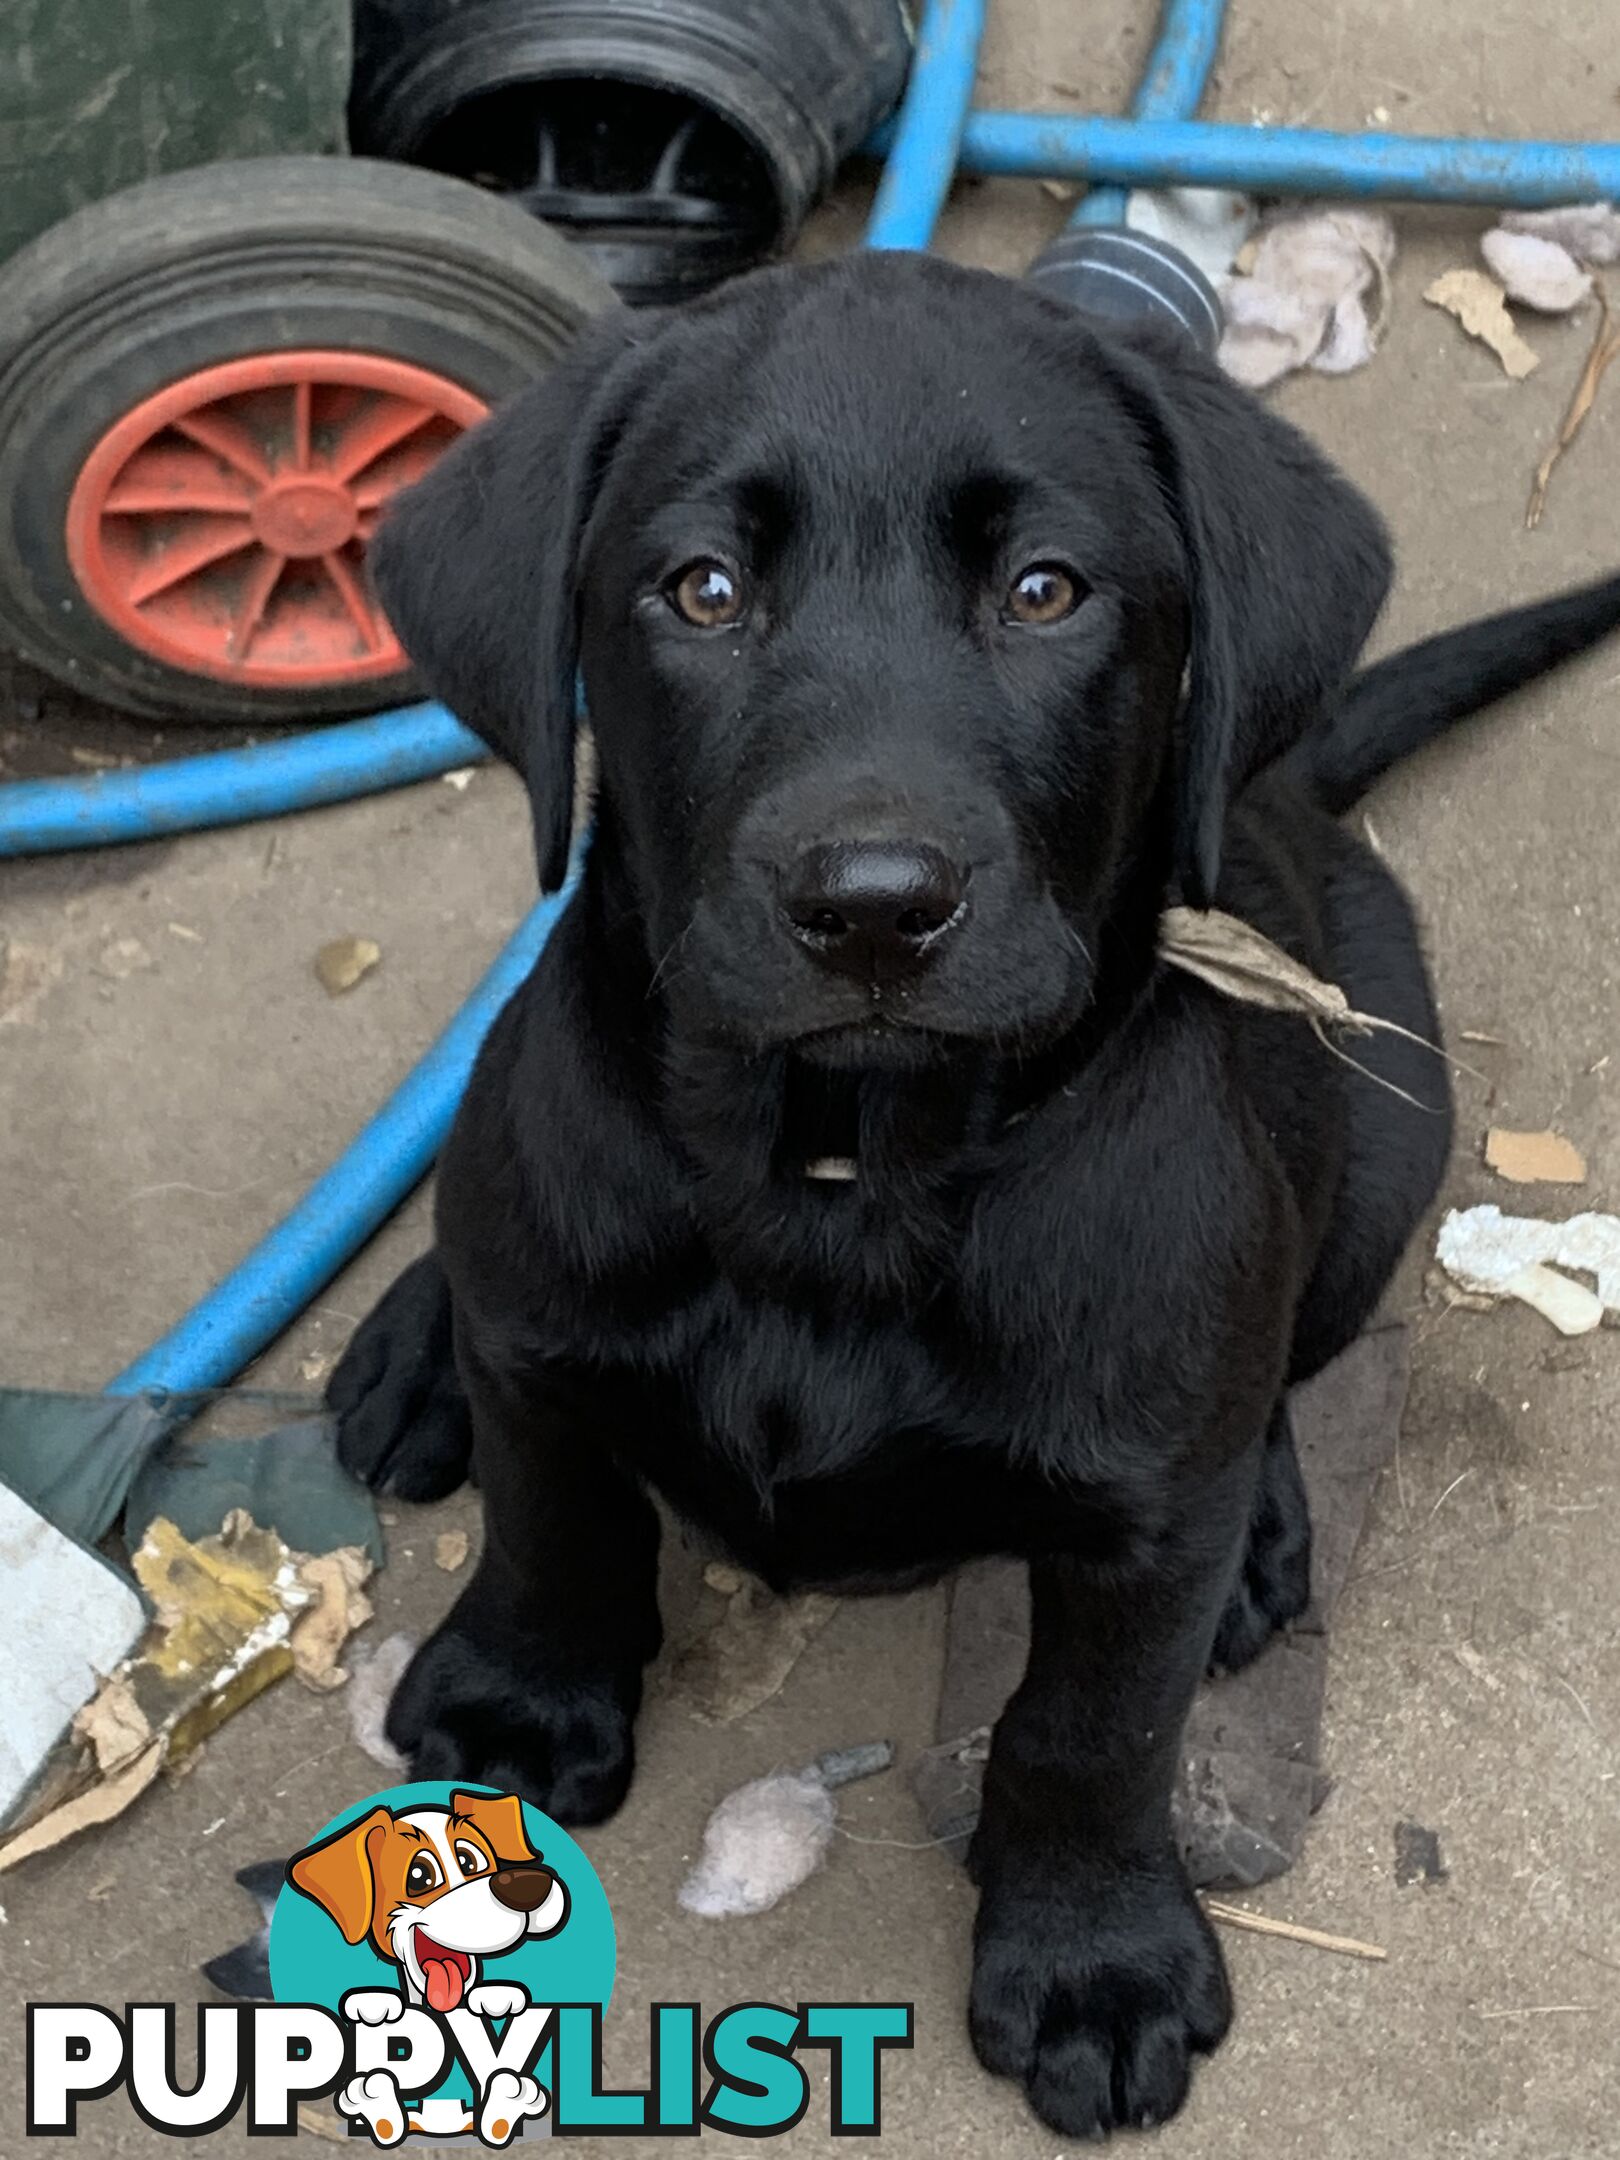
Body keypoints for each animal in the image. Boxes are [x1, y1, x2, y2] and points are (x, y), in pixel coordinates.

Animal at [332, 248, 1620, 2125]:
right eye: (702, 590)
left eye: (1044, 591)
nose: (871, 904)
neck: (840, 1164)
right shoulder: (548, 1347)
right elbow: (553, 1515)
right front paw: (516, 1706)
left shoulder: (1137, 1524)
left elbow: (1087, 1734)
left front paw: (1093, 1959)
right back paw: (408, 1345)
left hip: (1395, 1140)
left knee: (1283, 1357)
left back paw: (1264, 1527)